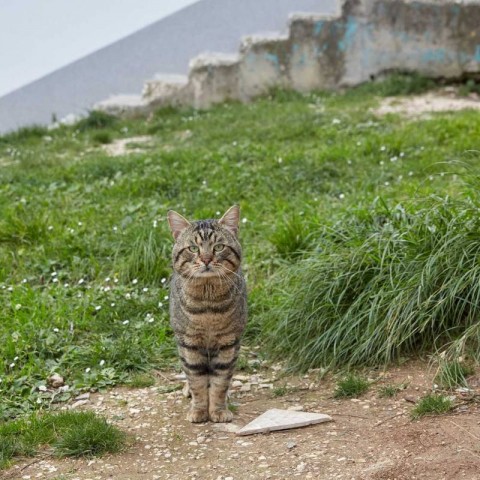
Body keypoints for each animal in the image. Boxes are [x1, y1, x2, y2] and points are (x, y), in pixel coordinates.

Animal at [167, 204, 248, 422]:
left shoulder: (229, 342)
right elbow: (197, 381)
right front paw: (199, 410)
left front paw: (218, 410)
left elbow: (220, 382)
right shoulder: (189, 343)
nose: (206, 259)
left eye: (218, 247)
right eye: (193, 248)